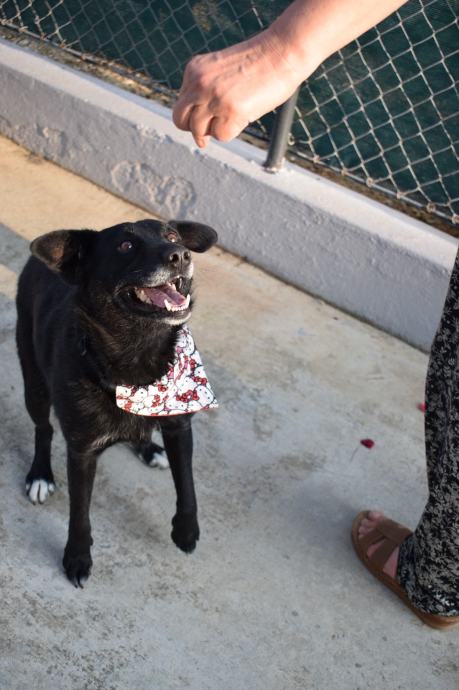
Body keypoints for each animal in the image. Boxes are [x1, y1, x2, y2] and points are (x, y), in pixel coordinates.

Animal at [16, 218, 218, 586]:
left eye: (172, 236)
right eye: (125, 246)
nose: (180, 255)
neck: (138, 358)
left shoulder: (179, 425)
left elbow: (187, 484)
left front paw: (186, 529)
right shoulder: (81, 452)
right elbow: (80, 513)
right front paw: (77, 557)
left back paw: (148, 448)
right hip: (34, 384)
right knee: (43, 428)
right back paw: (40, 474)